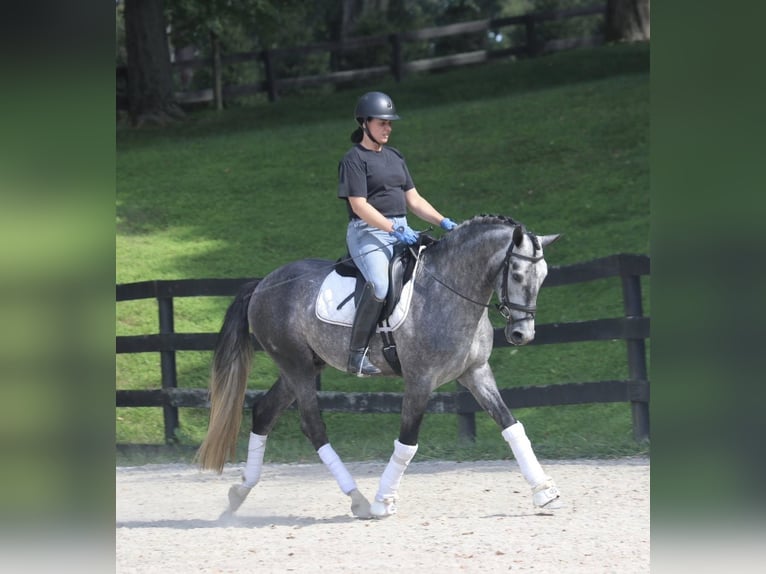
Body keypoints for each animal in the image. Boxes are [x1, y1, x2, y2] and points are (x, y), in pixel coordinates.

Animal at [197, 214, 562, 518]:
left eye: (543, 276)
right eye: (517, 274)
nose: (522, 334)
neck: (449, 288)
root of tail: (261, 285)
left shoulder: (476, 373)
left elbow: (511, 425)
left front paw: (544, 492)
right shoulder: (420, 380)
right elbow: (407, 442)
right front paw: (383, 502)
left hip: (302, 367)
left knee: (263, 412)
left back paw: (238, 494)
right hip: (296, 367)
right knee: (312, 426)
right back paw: (357, 499)